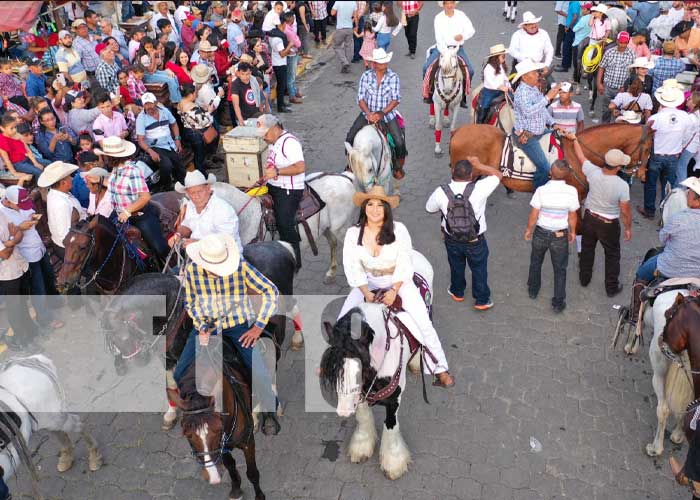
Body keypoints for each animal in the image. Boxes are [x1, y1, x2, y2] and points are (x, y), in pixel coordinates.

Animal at [0, 356, 104, 492]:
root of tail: (30, 359)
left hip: (54, 418)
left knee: (77, 424)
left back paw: (94, 456)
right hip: (47, 420)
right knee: (59, 432)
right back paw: (66, 458)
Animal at [318, 250, 432, 480]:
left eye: (360, 367)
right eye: (334, 371)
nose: (343, 411)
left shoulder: (393, 398)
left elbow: (390, 425)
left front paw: (393, 463)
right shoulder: (361, 394)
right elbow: (362, 416)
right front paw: (361, 447)